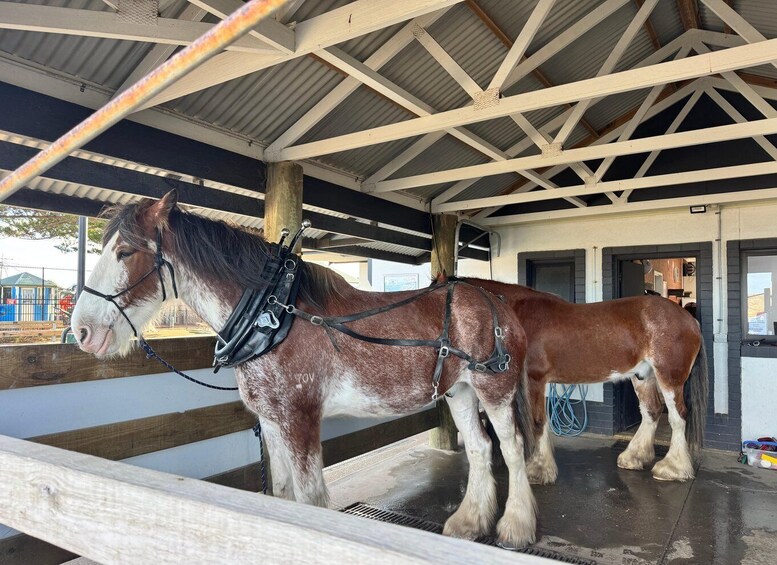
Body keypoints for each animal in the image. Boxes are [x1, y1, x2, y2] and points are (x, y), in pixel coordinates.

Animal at [70, 191, 538, 548]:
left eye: (125, 252)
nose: (82, 330)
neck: (272, 317)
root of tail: (497, 302)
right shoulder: (272, 421)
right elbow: (281, 495)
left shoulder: (300, 419)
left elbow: (310, 499)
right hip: (460, 391)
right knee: (479, 448)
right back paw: (469, 522)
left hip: (495, 389)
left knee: (512, 448)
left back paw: (515, 527)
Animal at [461, 278, 708, 484]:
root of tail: (690, 320)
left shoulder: (534, 380)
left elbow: (537, 422)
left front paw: (539, 470)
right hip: (643, 376)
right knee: (652, 411)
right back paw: (633, 457)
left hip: (669, 378)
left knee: (678, 417)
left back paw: (673, 468)